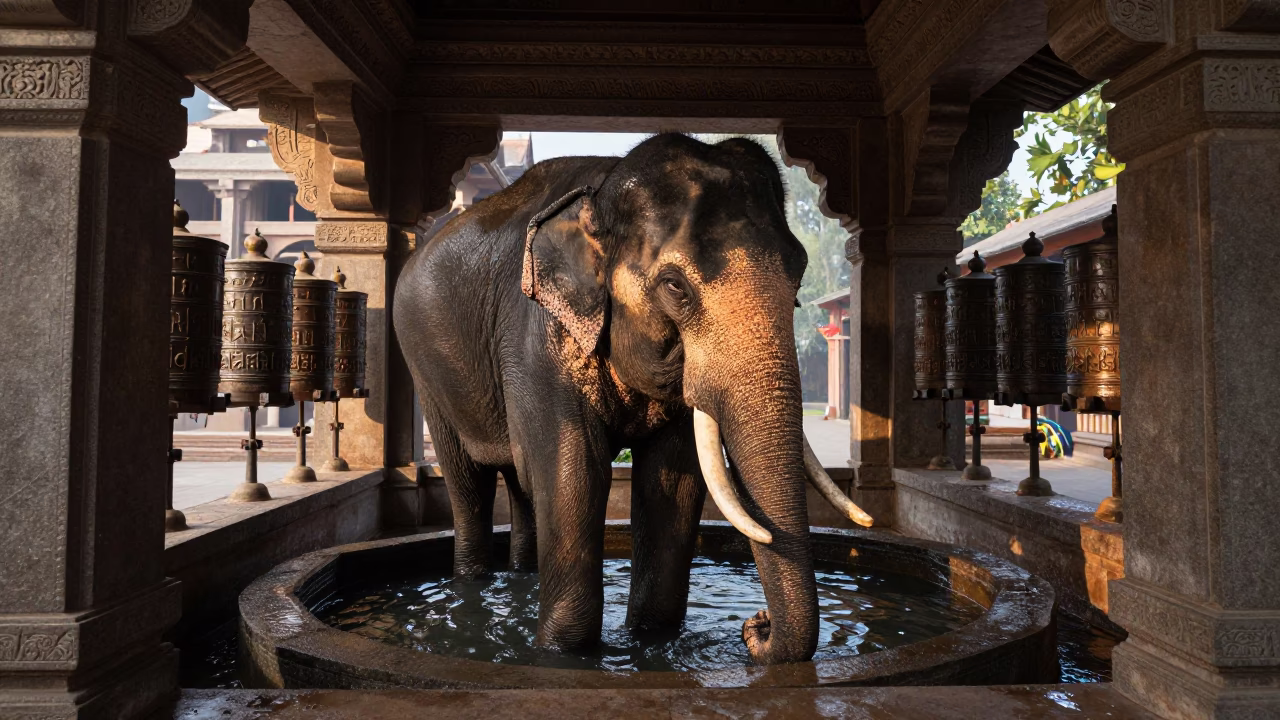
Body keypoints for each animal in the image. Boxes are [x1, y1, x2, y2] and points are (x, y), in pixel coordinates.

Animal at [393, 133, 872, 665]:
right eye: (675, 286)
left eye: (799, 278)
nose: (757, 624)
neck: (601, 193)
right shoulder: (535, 335)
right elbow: (573, 470)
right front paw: (562, 654)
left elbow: (672, 480)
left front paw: (650, 641)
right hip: (426, 370)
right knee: (470, 485)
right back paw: (472, 584)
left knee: (519, 481)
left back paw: (521, 575)